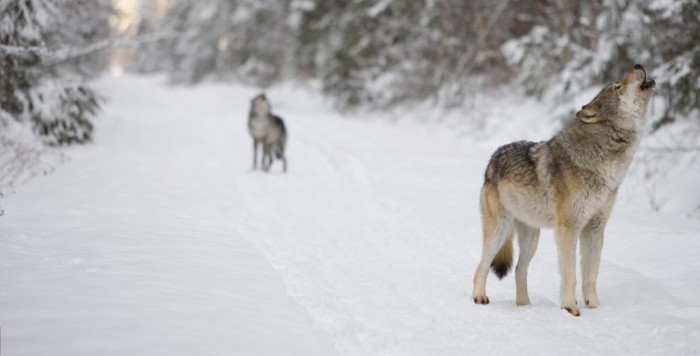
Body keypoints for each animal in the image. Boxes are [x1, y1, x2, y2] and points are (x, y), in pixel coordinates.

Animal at [470, 64, 656, 318]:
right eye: (617, 87)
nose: (638, 65)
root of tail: (492, 160)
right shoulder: (568, 227)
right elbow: (570, 274)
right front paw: (569, 307)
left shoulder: (595, 228)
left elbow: (591, 275)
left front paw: (594, 307)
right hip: (500, 230)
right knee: (481, 266)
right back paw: (479, 297)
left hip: (532, 238)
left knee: (519, 269)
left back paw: (524, 306)